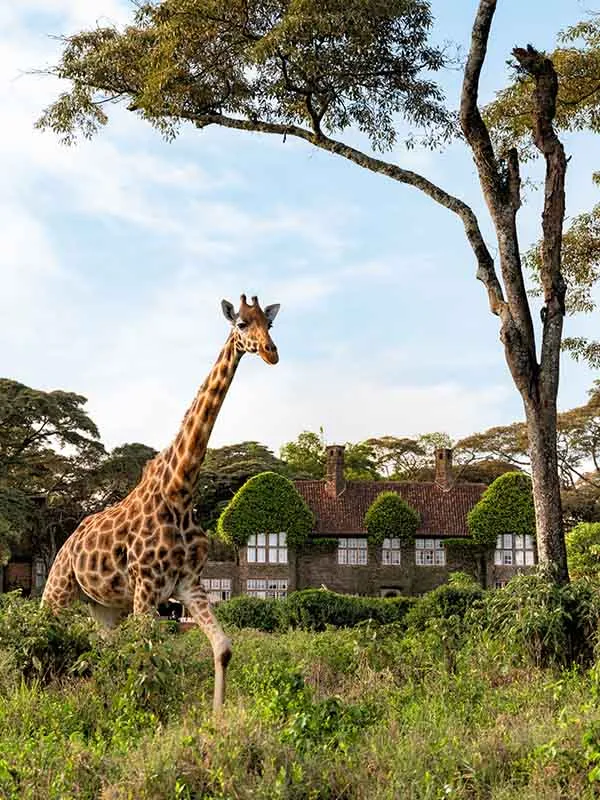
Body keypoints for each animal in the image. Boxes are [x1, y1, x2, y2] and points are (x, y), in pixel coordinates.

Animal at [42, 294, 280, 711]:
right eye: (241, 324)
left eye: (270, 324)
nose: (271, 353)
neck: (180, 489)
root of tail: (68, 541)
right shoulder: (147, 587)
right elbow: (145, 655)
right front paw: (142, 713)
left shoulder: (187, 582)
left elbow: (222, 648)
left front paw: (216, 720)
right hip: (58, 588)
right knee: (42, 635)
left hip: (105, 607)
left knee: (104, 647)